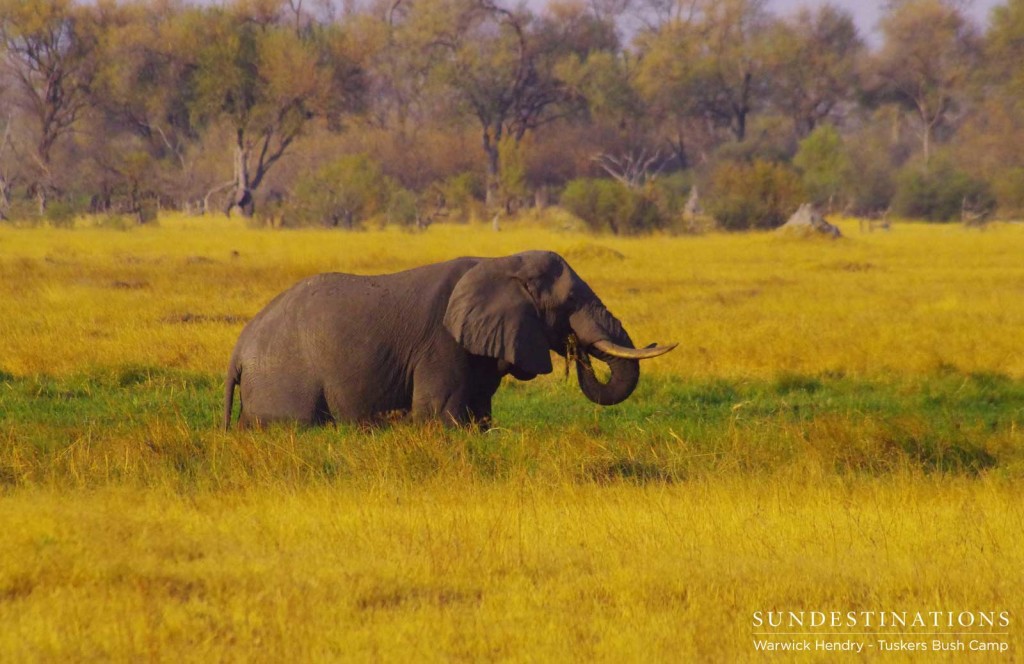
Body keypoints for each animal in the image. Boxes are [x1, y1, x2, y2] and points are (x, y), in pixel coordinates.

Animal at [221, 250, 675, 430]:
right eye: (570, 302)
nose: (575, 348)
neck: (500, 262)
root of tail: (238, 352)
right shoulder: (441, 345)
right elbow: (441, 416)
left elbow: (480, 414)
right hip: (284, 380)